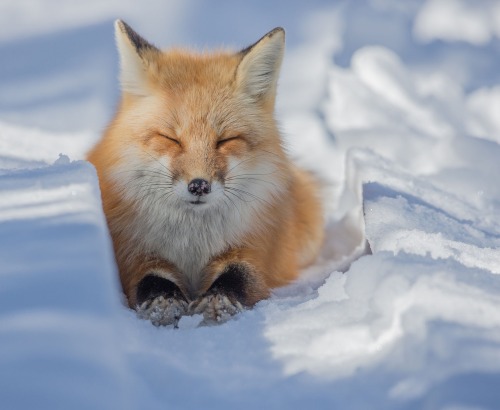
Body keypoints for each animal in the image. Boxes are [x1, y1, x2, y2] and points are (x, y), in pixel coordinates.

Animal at [88, 20, 324, 326]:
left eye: (225, 140)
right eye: (171, 139)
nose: (199, 185)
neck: (193, 245)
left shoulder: (256, 249)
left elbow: (236, 276)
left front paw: (216, 303)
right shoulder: (132, 252)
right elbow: (153, 281)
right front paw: (164, 305)